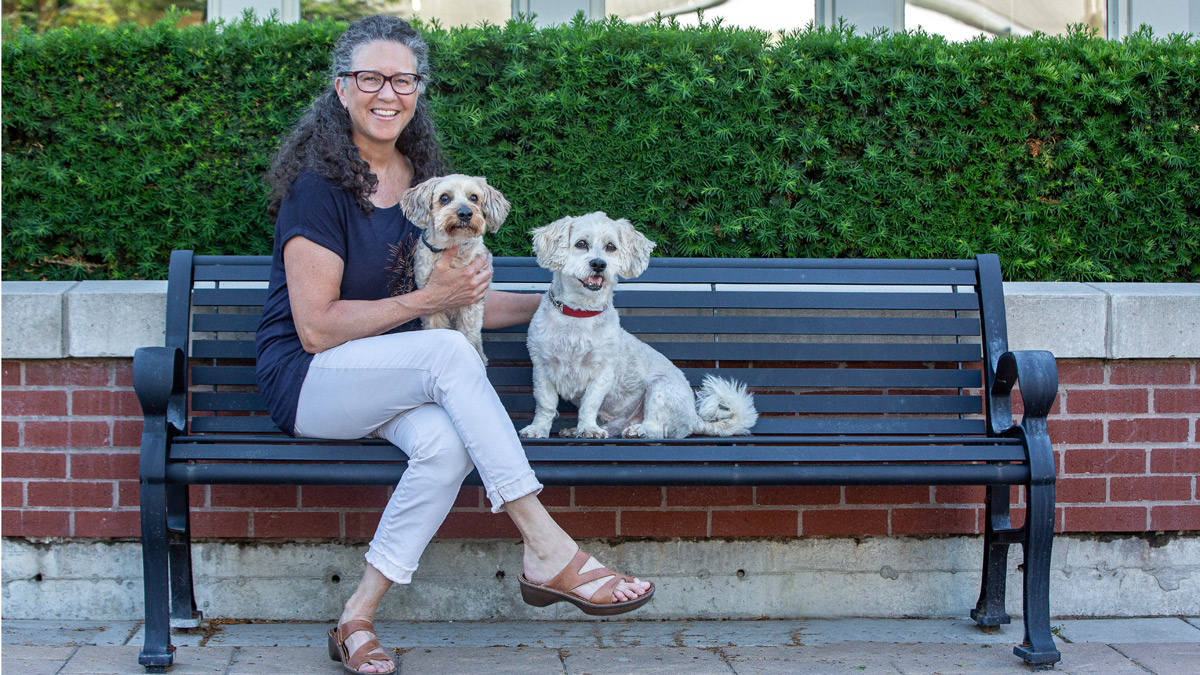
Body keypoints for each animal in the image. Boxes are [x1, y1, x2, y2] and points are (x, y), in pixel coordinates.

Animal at [400, 172, 508, 362]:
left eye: (474, 197)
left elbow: (469, 334)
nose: (465, 213)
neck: (453, 248)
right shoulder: (431, 302)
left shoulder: (472, 304)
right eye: (444, 198)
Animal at [518, 212, 758, 439]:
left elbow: (590, 404)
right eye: (581, 243)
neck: (579, 314)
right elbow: (546, 404)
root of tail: (693, 417)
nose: (599, 264)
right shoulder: (542, 368)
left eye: (611, 247)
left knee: (656, 429)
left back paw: (638, 430)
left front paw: (588, 429)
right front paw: (538, 429)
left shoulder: (602, 372)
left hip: (660, 387)